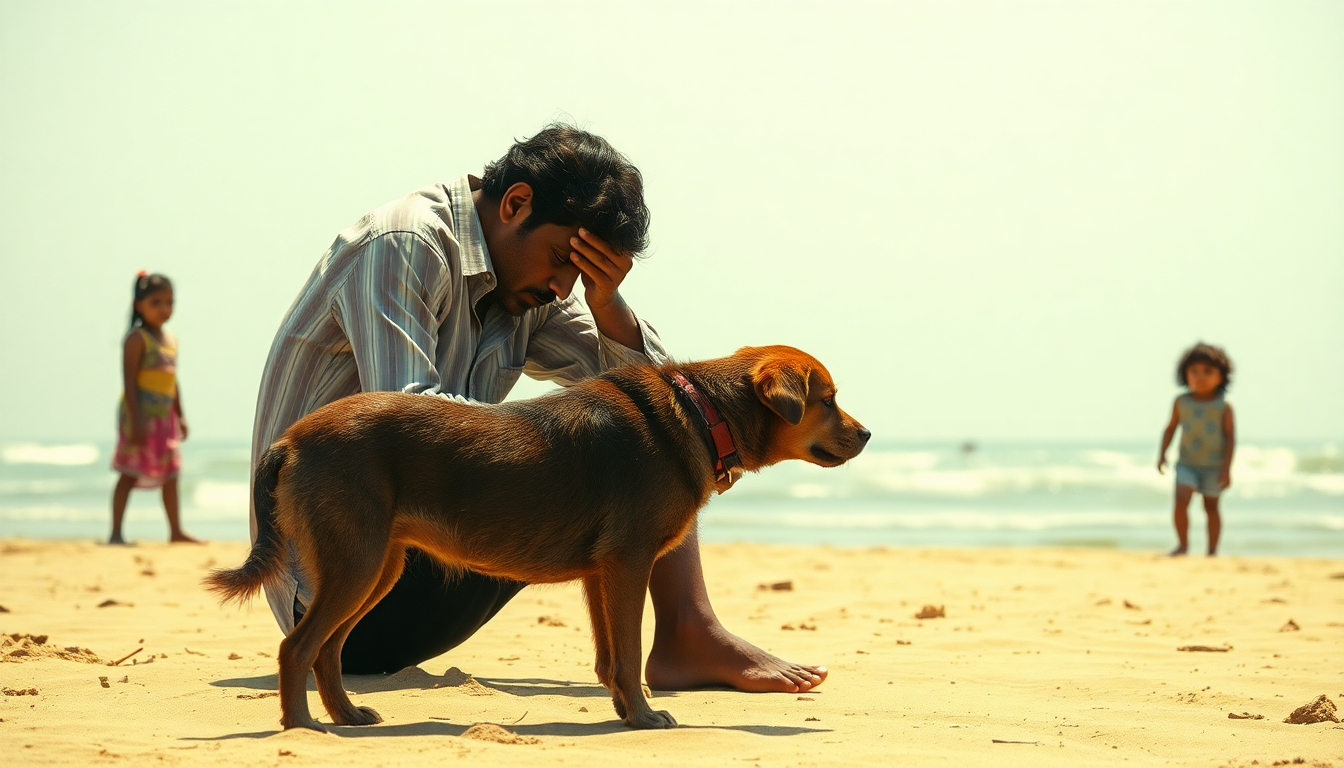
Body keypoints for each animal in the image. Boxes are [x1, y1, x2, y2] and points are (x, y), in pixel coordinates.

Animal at [204, 344, 865, 731]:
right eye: (828, 400)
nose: (867, 434)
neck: (705, 414)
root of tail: (291, 439)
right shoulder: (629, 563)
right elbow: (629, 654)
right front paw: (644, 717)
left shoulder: (602, 573)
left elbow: (610, 658)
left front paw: (625, 711)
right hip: (357, 562)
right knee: (298, 647)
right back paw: (302, 727)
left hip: (375, 567)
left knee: (328, 649)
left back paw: (344, 714)